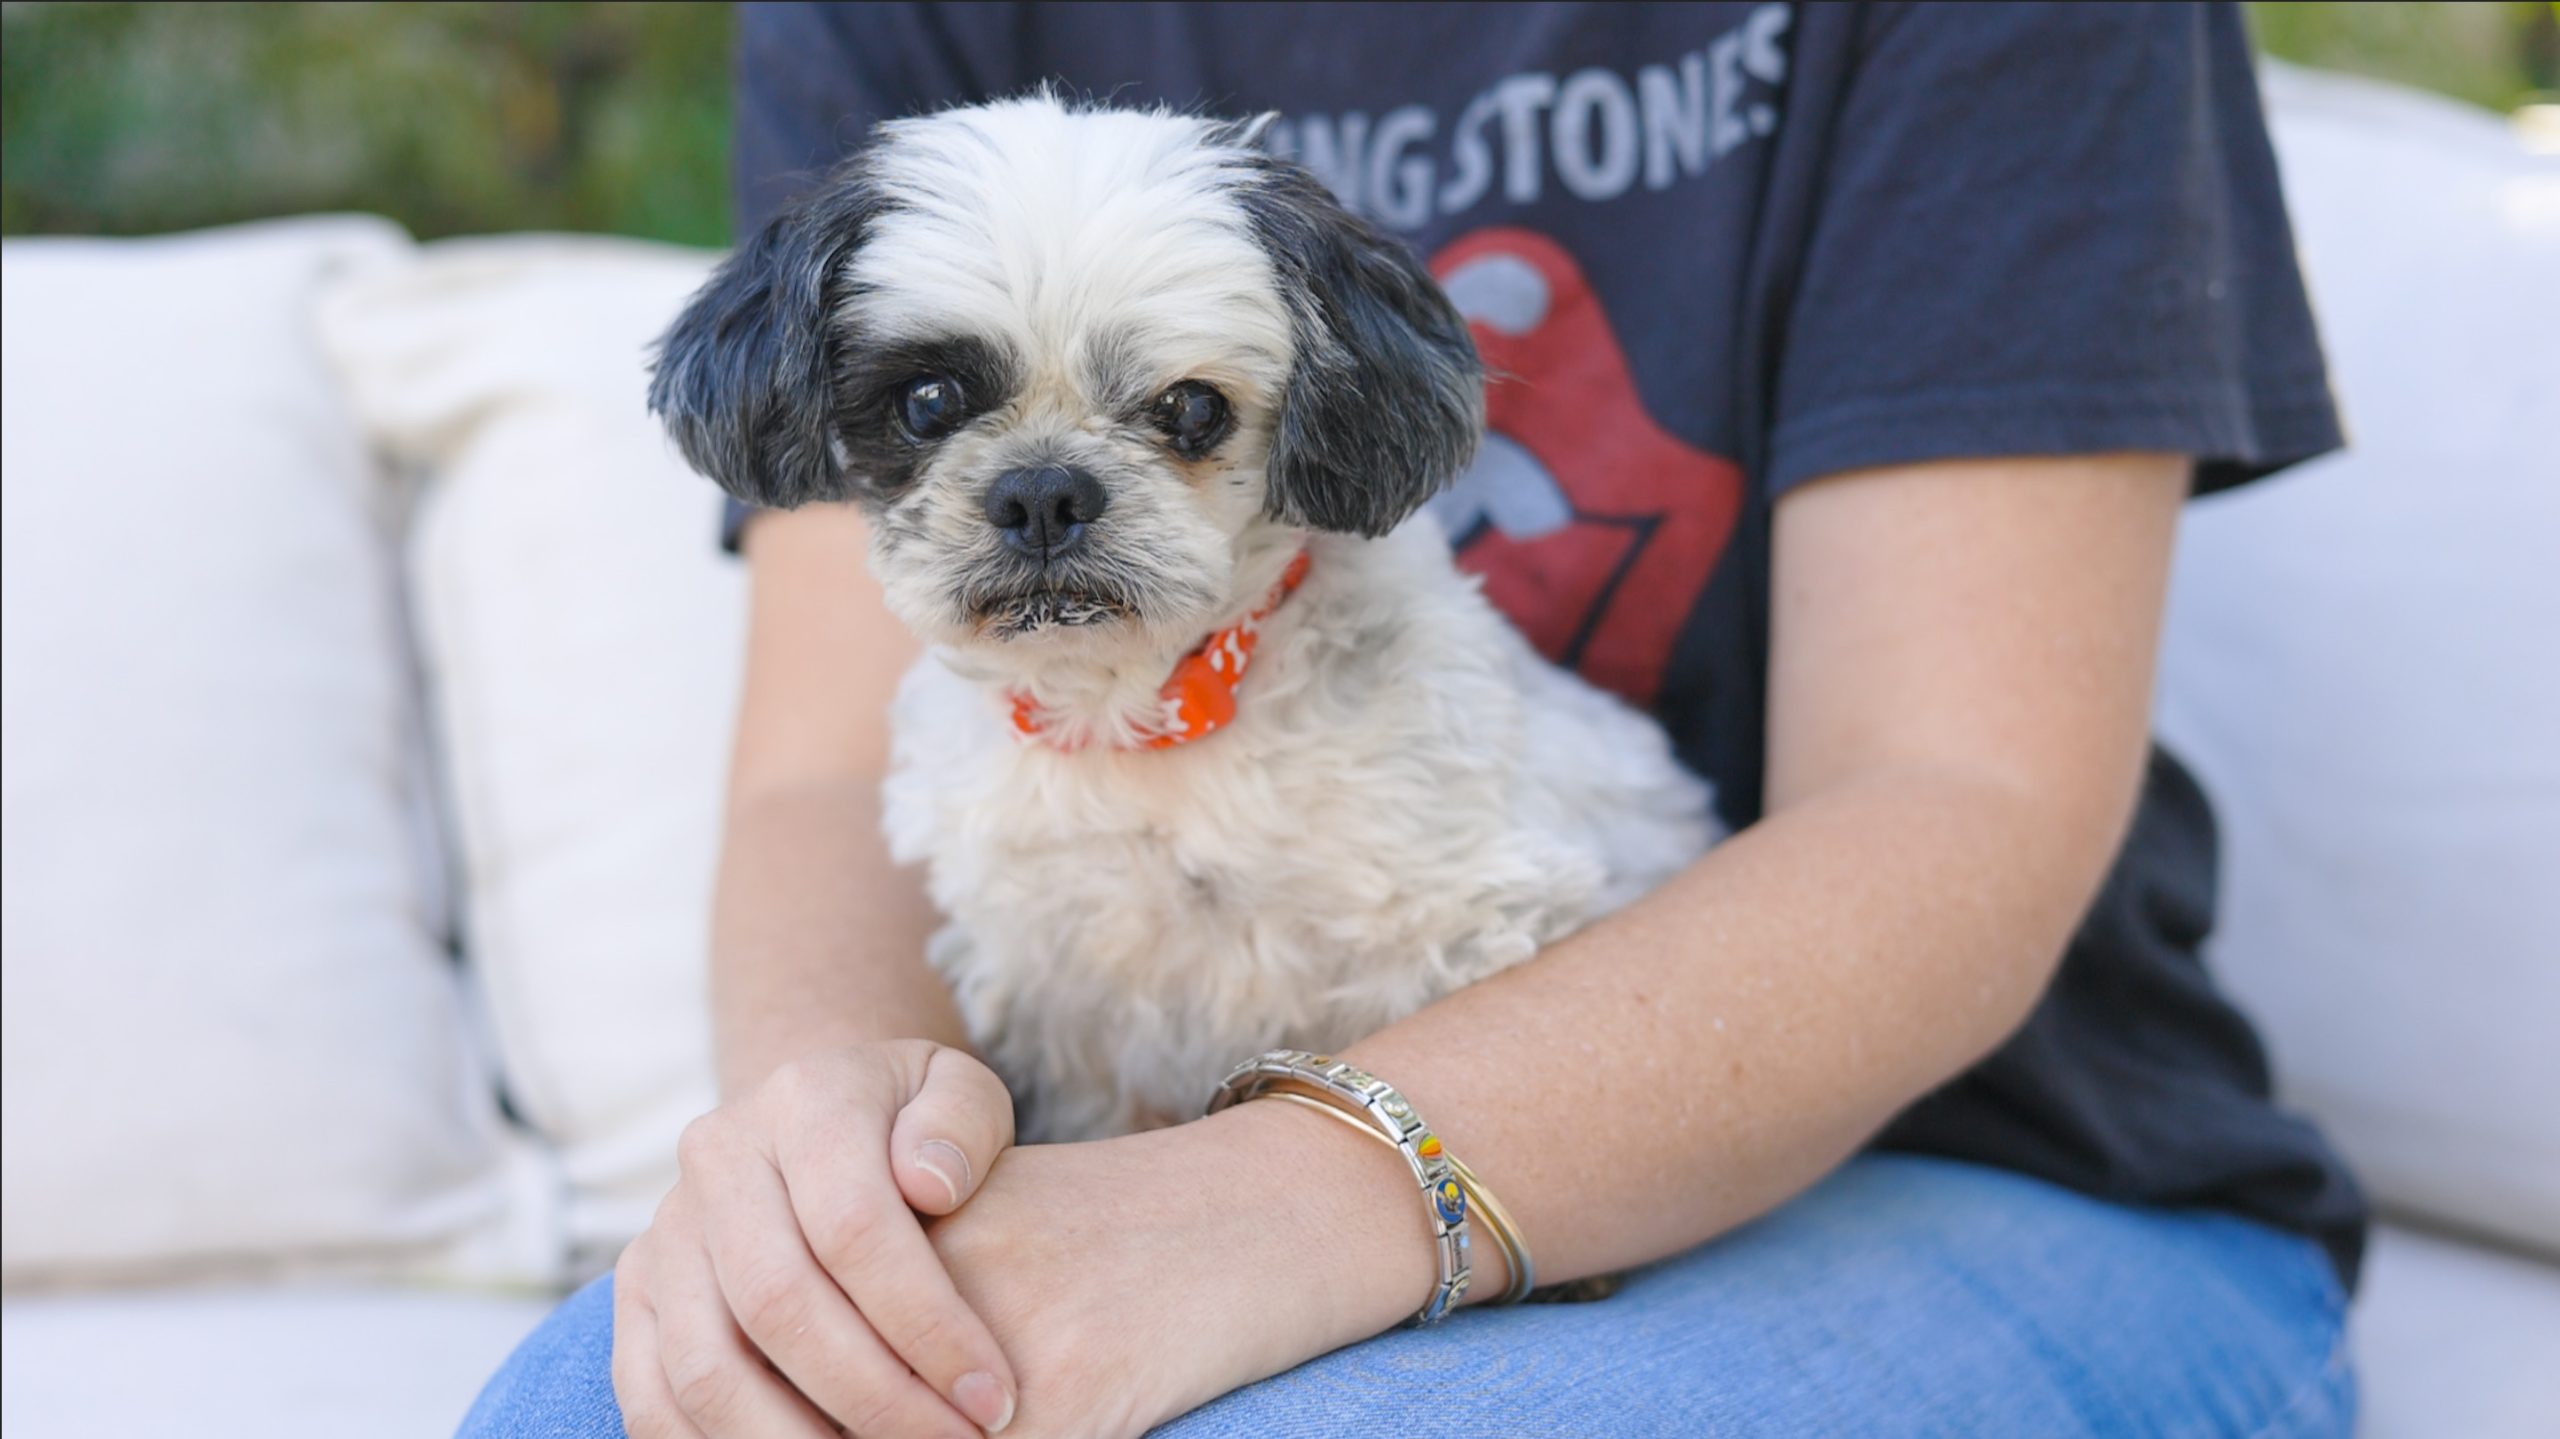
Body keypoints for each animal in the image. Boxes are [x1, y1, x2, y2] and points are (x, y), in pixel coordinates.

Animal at [655, 95, 1720, 1136]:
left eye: (1192, 409)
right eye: (927, 400)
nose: (1043, 492)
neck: (1145, 710)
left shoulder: (1483, 920)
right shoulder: (1060, 1012)